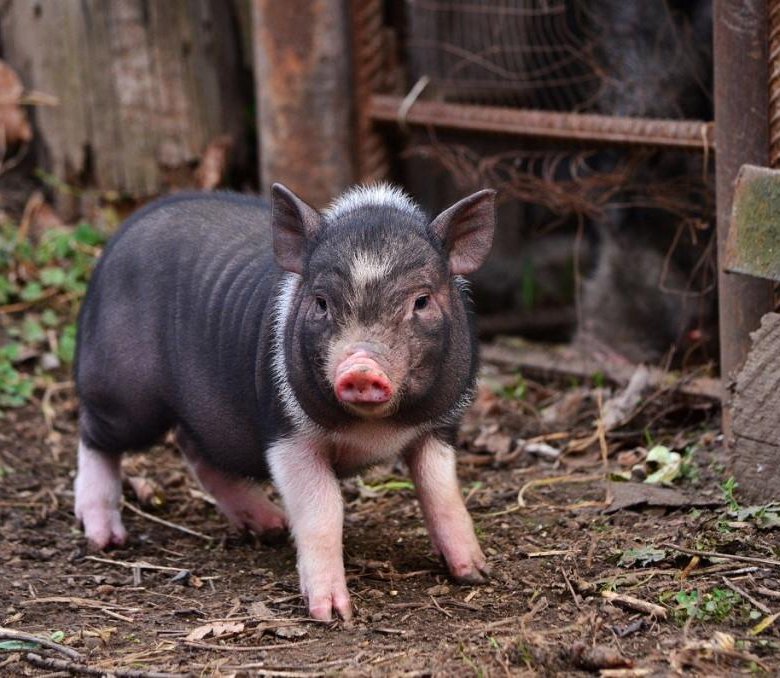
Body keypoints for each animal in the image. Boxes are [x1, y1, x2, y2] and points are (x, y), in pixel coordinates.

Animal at [76, 185, 496, 620]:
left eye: (422, 301)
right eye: (321, 302)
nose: (361, 369)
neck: (374, 430)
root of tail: (122, 235)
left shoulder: (438, 427)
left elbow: (442, 491)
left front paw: (476, 573)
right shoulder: (288, 434)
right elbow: (324, 510)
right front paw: (332, 614)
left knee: (195, 449)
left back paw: (271, 526)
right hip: (125, 393)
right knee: (94, 435)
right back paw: (107, 539)